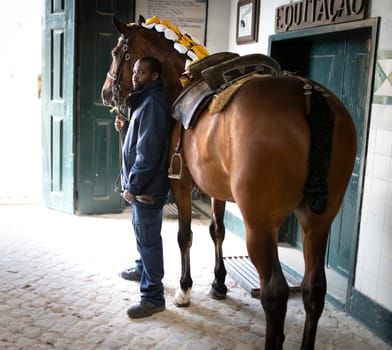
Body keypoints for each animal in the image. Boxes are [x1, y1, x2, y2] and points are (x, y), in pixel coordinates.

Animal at [102, 15, 358, 348]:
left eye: (118, 52)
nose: (107, 92)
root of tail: (309, 95)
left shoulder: (181, 186)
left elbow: (185, 236)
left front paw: (185, 289)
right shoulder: (217, 191)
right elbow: (217, 231)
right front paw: (219, 284)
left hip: (260, 226)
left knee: (275, 292)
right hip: (317, 223)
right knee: (314, 289)